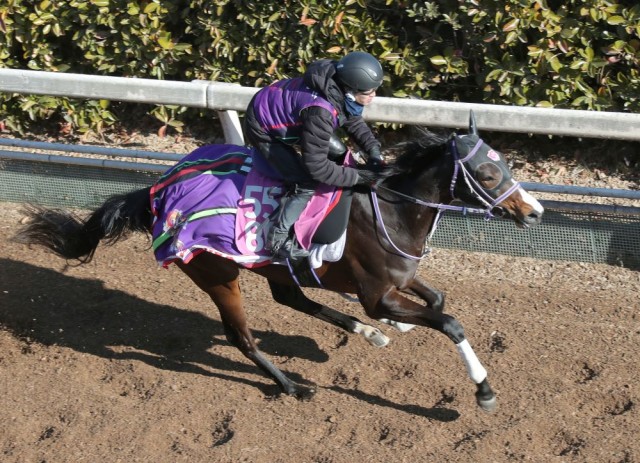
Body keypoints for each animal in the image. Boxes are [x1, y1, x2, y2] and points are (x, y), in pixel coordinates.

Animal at [15, 116, 544, 414]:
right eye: (489, 173)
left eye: (507, 165)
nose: (535, 211)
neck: (393, 209)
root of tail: (157, 191)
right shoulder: (377, 294)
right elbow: (449, 322)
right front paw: (483, 392)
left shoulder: (400, 280)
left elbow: (436, 298)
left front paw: (396, 325)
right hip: (218, 274)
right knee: (242, 337)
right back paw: (292, 385)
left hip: (268, 266)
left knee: (290, 295)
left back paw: (364, 333)